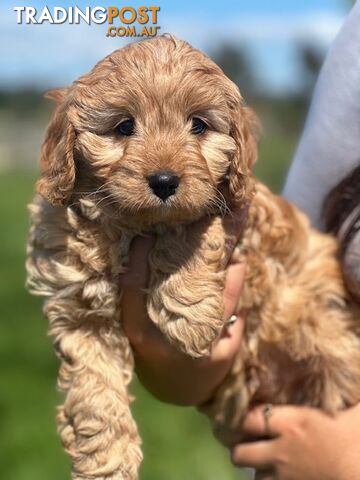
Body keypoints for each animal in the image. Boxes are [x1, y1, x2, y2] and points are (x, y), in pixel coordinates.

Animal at [26, 36, 360, 480]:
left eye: (198, 125)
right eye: (124, 126)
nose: (165, 181)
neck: (132, 225)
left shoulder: (241, 214)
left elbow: (191, 226)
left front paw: (190, 317)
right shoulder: (80, 309)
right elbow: (94, 389)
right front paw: (106, 462)